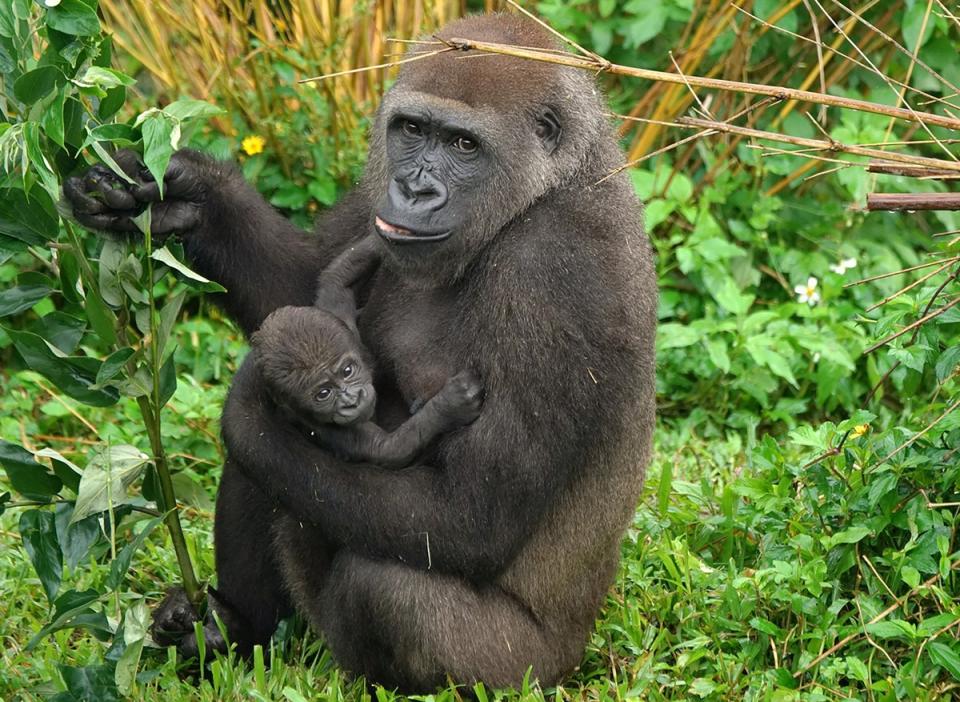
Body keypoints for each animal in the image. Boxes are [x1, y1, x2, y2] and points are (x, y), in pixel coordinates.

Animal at [251, 241, 484, 468]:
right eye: (323, 393)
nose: (351, 399)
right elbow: (388, 449)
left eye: (347, 371)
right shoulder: (328, 427)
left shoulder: (338, 320)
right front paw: (449, 406)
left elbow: (337, 279)